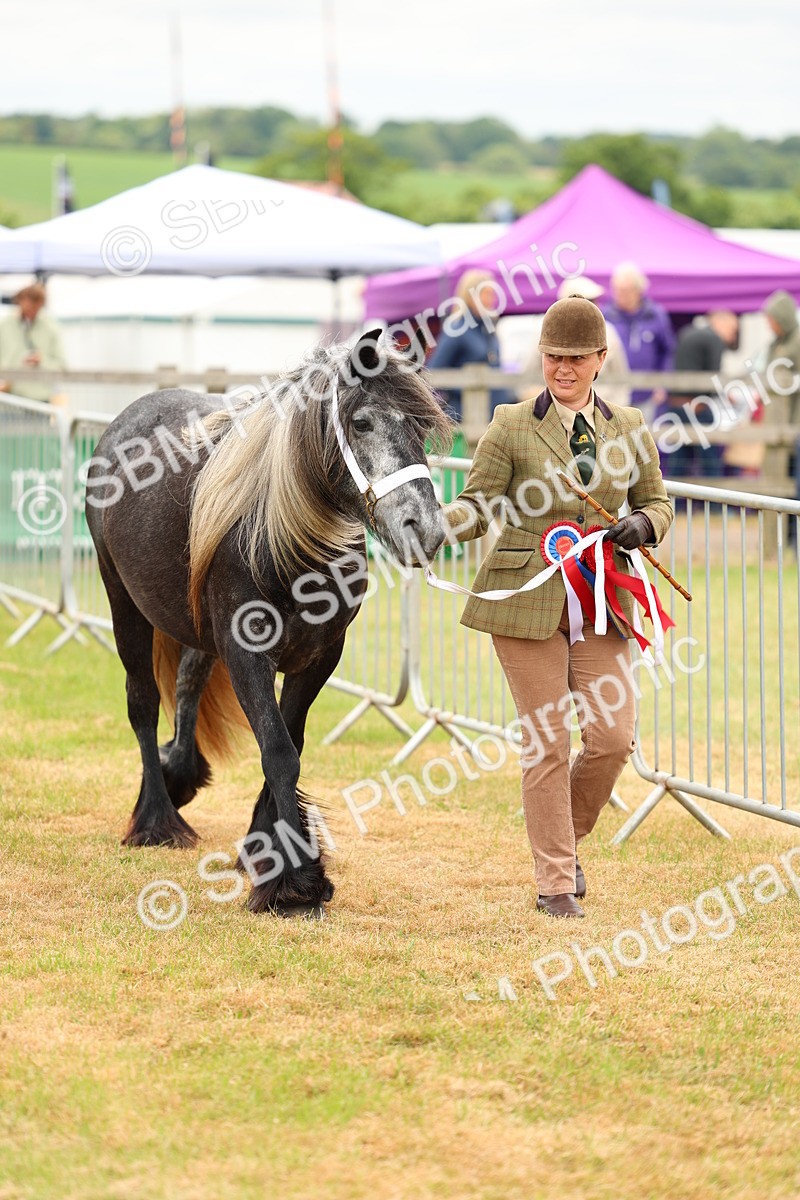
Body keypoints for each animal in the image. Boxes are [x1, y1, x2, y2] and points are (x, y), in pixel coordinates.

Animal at [86, 330, 451, 916]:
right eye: (362, 423)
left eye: (420, 427)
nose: (426, 529)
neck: (285, 537)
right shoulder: (247, 656)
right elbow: (279, 752)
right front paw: (297, 884)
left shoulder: (319, 658)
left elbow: (289, 744)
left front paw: (265, 851)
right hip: (124, 606)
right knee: (141, 705)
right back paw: (158, 821)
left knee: (187, 683)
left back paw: (179, 773)